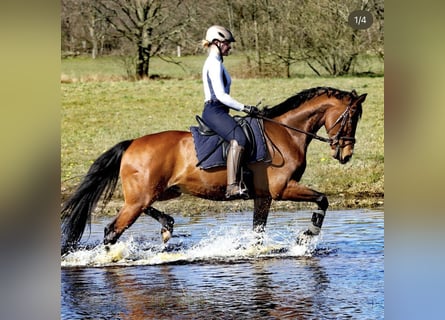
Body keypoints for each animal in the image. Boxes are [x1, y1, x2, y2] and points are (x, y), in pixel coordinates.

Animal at [61, 85, 364, 255]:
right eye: (352, 117)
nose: (346, 154)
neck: (286, 133)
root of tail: (132, 144)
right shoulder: (282, 189)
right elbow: (323, 199)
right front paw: (306, 236)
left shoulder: (263, 197)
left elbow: (257, 232)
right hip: (140, 197)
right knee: (112, 230)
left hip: (160, 192)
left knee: (146, 209)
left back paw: (167, 226)